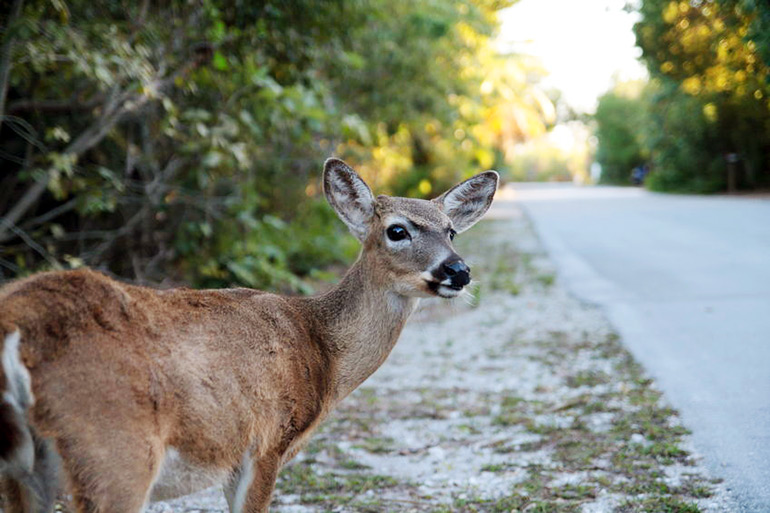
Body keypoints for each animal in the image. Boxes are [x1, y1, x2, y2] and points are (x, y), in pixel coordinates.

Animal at [0, 158, 498, 513]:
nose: (459, 271)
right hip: (113, 449)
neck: (321, 349)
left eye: (451, 231)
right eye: (397, 230)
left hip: (26, 469)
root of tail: (13, 326)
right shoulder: (267, 442)